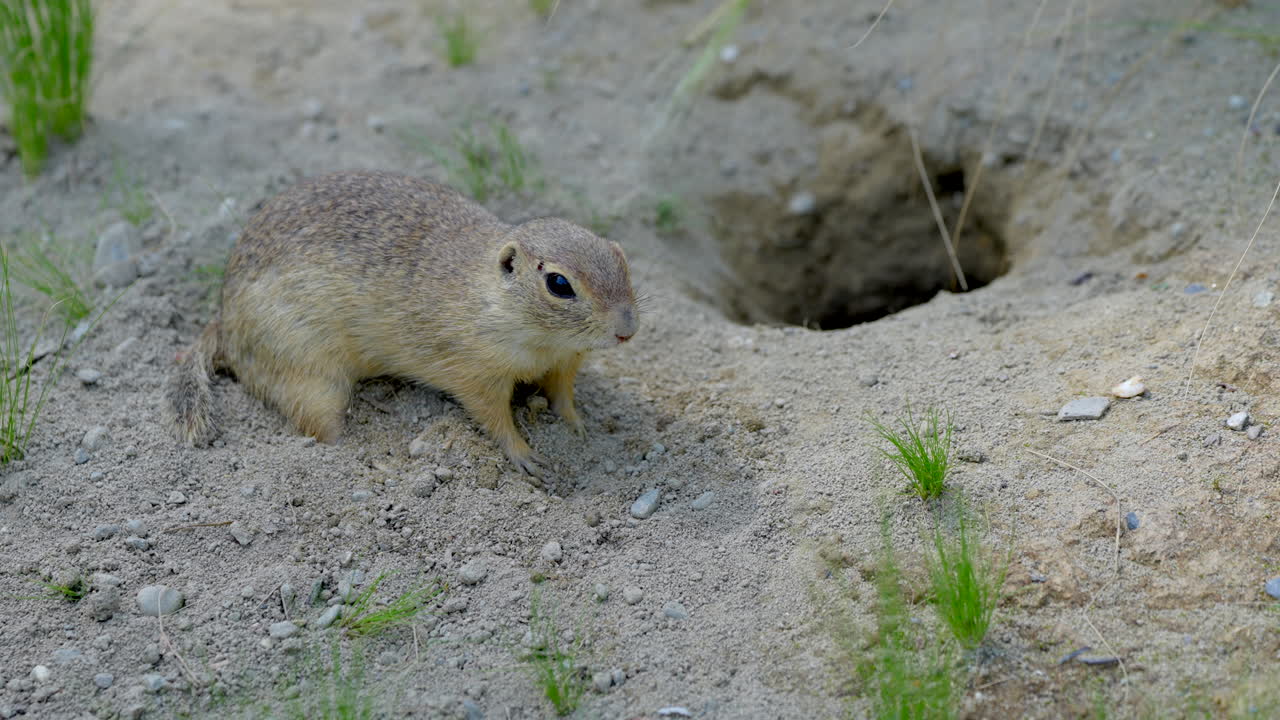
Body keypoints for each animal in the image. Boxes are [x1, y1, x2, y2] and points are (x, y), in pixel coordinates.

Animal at [168, 170, 638, 477]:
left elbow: (561, 395)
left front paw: (579, 428)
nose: (627, 331)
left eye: (621, 257)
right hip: (311, 379)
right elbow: (493, 417)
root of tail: (223, 322)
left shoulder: (565, 360)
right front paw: (526, 455)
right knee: (321, 433)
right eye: (559, 283)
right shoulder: (475, 371)